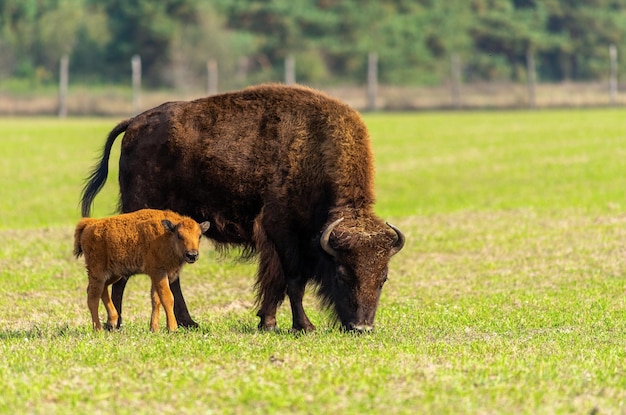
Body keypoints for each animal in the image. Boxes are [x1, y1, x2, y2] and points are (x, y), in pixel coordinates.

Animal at [73, 210, 210, 334]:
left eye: (199, 236)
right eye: (179, 235)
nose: (192, 255)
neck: (166, 235)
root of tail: (90, 223)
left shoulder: (157, 276)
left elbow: (156, 300)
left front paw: (154, 329)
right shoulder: (159, 273)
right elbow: (167, 298)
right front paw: (172, 328)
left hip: (114, 274)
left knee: (103, 290)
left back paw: (112, 321)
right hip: (97, 272)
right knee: (92, 298)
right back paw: (98, 329)